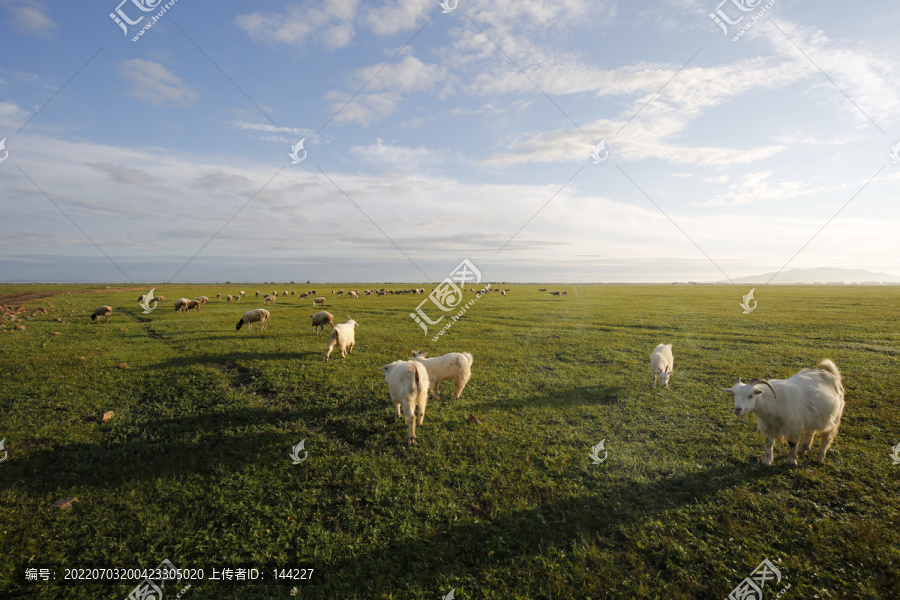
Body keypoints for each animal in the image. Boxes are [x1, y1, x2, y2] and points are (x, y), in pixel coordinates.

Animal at [720, 358, 848, 466]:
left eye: (751, 395)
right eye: (733, 394)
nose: (737, 409)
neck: (770, 401)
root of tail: (832, 375)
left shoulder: (793, 427)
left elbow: (792, 444)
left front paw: (791, 461)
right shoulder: (768, 426)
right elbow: (769, 443)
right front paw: (767, 461)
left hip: (835, 417)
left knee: (826, 438)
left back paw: (819, 458)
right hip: (813, 416)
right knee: (810, 431)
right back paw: (803, 449)